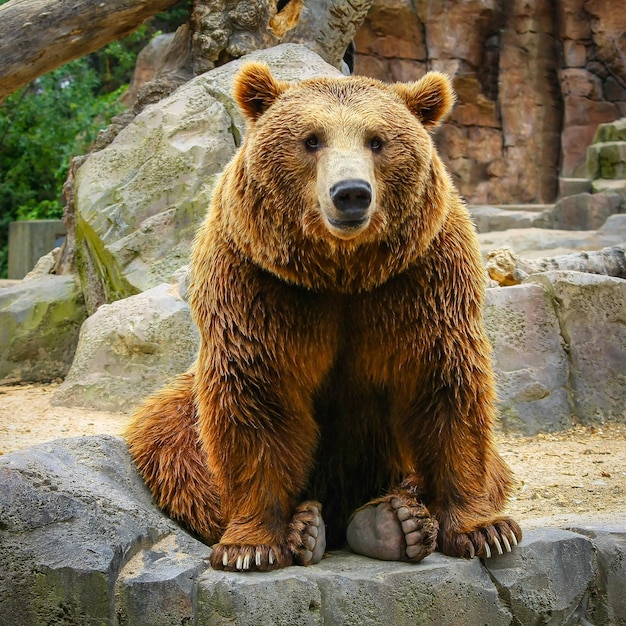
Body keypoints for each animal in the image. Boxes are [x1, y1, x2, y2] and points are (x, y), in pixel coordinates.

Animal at [124, 62, 520, 572]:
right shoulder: (259, 282)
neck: (342, 272)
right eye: (311, 139)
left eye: (377, 140)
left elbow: (446, 385)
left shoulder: (422, 277)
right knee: (170, 441)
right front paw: (250, 547)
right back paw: (314, 527)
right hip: (182, 413)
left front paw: (484, 530)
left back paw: (396, 519)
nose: (350, 194)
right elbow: (254, 396)